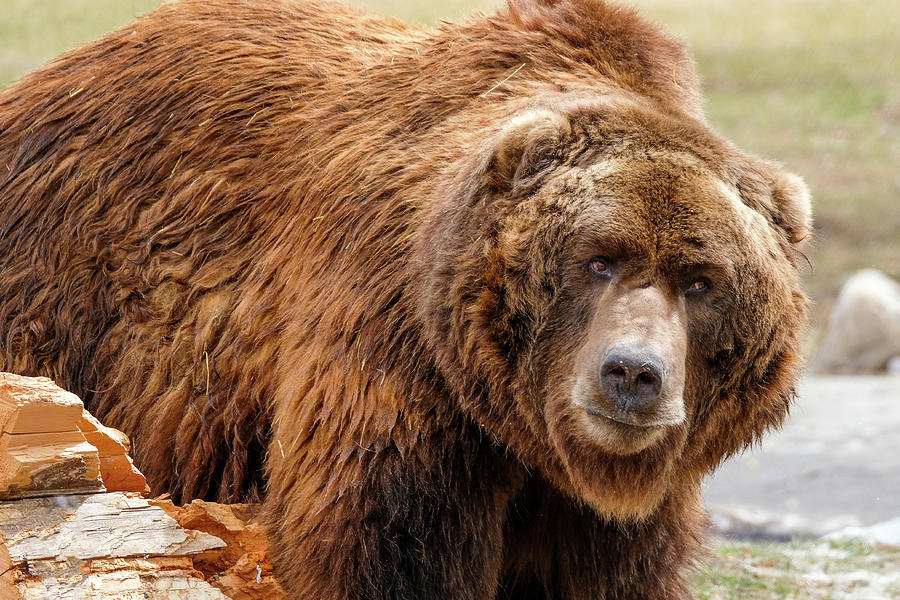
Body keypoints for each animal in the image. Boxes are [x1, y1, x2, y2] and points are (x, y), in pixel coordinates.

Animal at [0, 0, 812, 596]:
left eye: (701, 281)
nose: (633, 373)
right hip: (63, 298)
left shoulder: (613, 510)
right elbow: (389, 546)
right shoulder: (397, 370)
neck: (518, 425)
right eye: (598, 260)